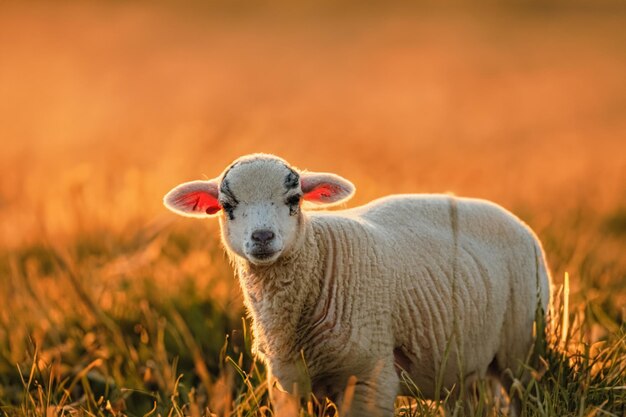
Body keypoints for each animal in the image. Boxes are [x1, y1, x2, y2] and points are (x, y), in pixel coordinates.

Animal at [163, 153, 548, 416]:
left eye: (294, 200)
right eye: (227, 205)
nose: (262, 237)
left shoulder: (369, 378)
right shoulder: (289, 385)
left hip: (523, 344)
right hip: (465, 364)